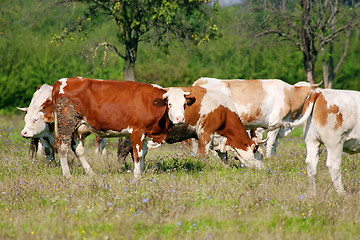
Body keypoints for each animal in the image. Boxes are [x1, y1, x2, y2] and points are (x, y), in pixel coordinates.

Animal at [41, 77, 194, 178]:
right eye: (169, 104)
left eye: (184, 104)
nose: (180, 119)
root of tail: (61, 82)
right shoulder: (137, 131)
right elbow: (137, 154)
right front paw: (137, 177)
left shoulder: (146, 133)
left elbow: (143, 154)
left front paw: (141, 173)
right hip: (66, 124)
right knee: (63, 148)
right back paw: (67, 175)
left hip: (77, 128)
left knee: (78, 150)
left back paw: (91, 173)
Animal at [117, 86, 264, 169]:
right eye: (260, 155)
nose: (263, 169)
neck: (224, 110)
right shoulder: (205, 134)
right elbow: (203, 155)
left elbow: (223, 156)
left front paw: (226, 168)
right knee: (124, 149)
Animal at [193, 78, 322, 158]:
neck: (290, 96)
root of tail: (200, 80)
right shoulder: (275, 123)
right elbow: (271, 142)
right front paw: (269, 157)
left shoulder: (275, 125)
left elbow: (274, 144)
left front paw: (274, 156)